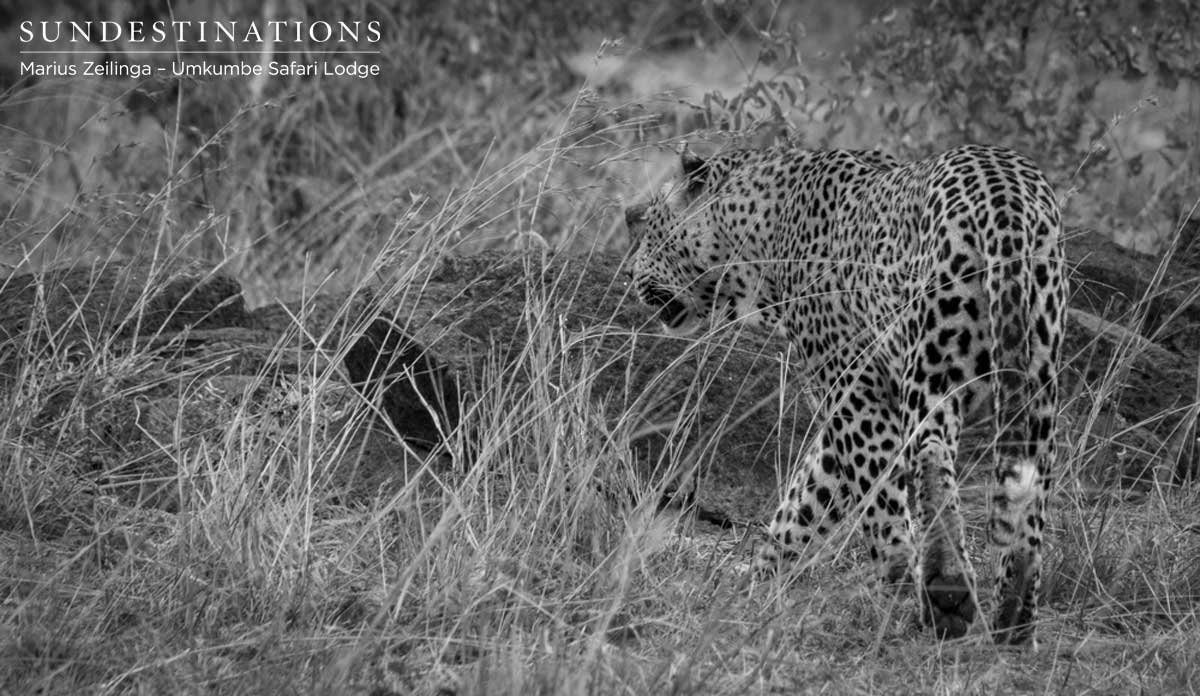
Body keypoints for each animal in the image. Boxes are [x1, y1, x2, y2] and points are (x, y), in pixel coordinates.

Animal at [623, 142, 1066, 645]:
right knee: (1030, 486)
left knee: (931, 454)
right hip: (1039, 379)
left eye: (644, 223)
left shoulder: (855, 392)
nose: (627, 274)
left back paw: (946, 591)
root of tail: (1004, 197)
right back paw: (1016, 616)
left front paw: (897, 581)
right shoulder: (850, 404)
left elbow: (877, 498)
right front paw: (759, 578)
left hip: (934, 370)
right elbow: (809, 496)